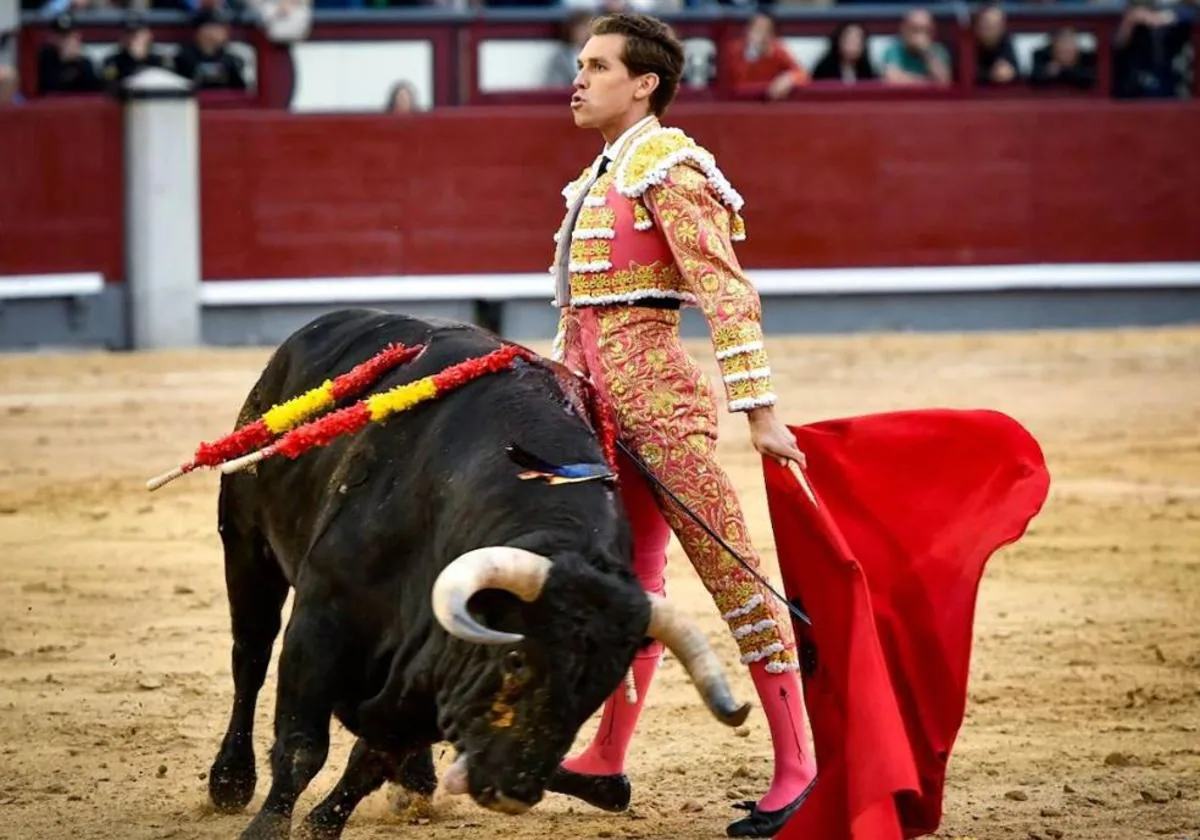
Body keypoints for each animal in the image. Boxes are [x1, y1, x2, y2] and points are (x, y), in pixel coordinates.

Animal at [206, 312, 748, 840]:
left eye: (599, 688)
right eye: (514, 659)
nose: (512, 790)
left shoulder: (435, 674)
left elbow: (372, 758)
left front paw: (323, 824)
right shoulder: (322, 620)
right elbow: (302, 746)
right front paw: (267, 828)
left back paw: (417, 784)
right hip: (247, 544)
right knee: (250, 654)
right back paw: (230, 780)